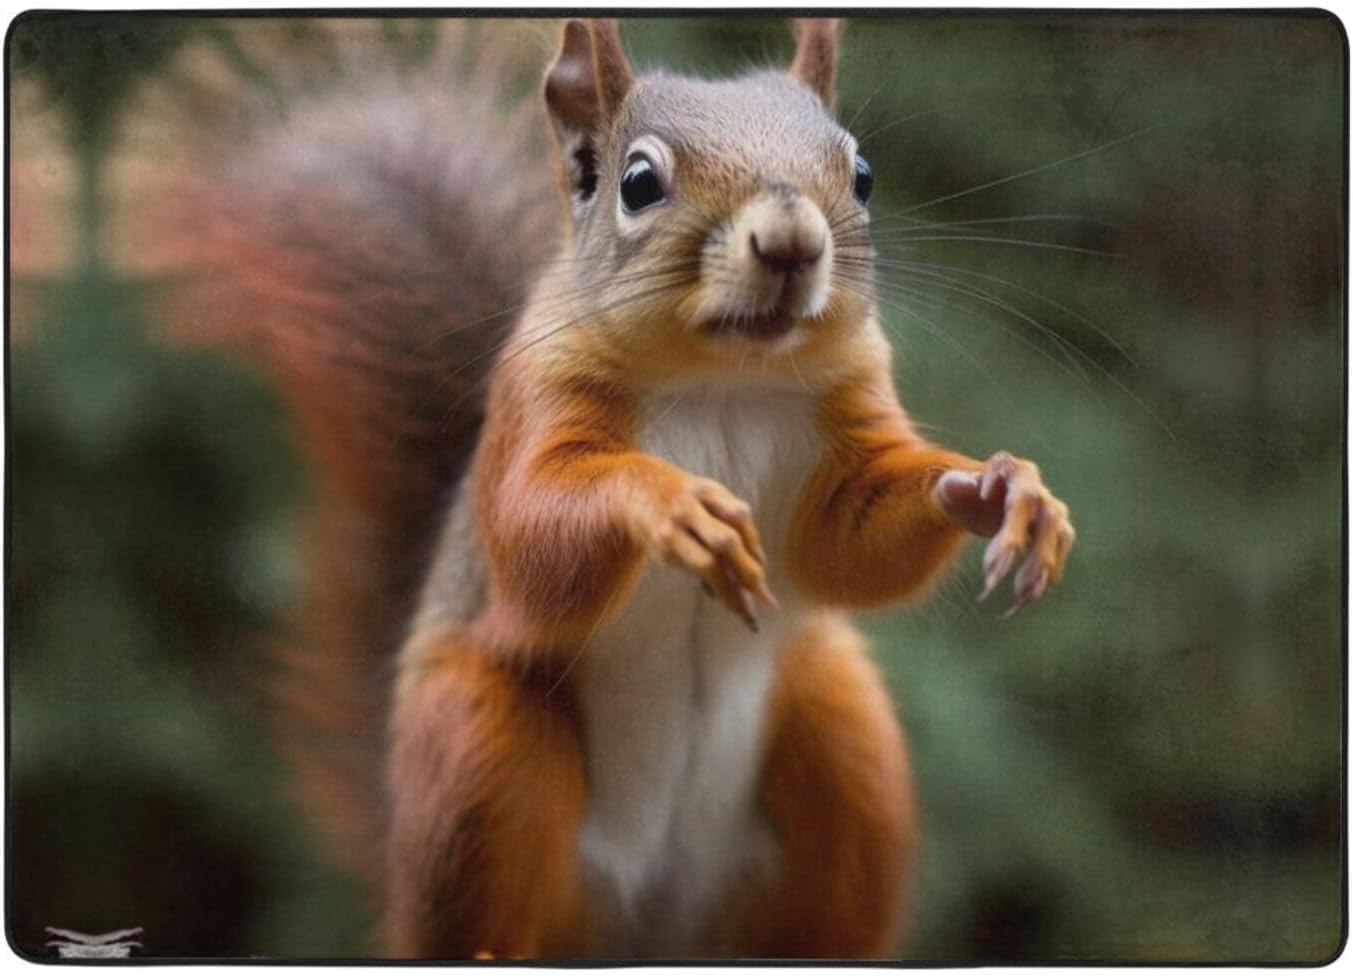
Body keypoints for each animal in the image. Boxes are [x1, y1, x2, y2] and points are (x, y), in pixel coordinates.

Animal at [130, 17, 1075, 960]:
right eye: (639, 182)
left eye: (863, 174)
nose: (791, 244)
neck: (720, 380)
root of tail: (644, 927)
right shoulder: (535, 403)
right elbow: (533, 536)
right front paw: (671, 503)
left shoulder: (845, 425)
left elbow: (852, 542)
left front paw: (1004, 491)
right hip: (480, 746)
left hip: (840, 730)